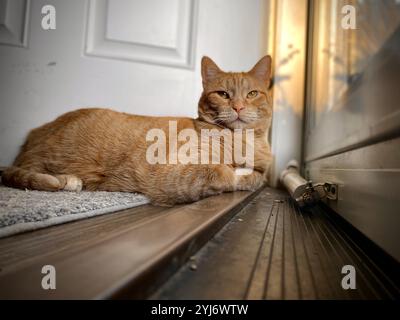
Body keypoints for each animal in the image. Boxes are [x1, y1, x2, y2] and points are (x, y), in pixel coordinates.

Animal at [0, 55, 272, 206]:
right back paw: (64, 180)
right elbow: (224, 172)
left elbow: (256, 177)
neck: (243, 142)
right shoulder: (177, 172)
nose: (238, 106)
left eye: (252, 94)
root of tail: (34, 133)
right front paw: (237, 172)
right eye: (223, 94)